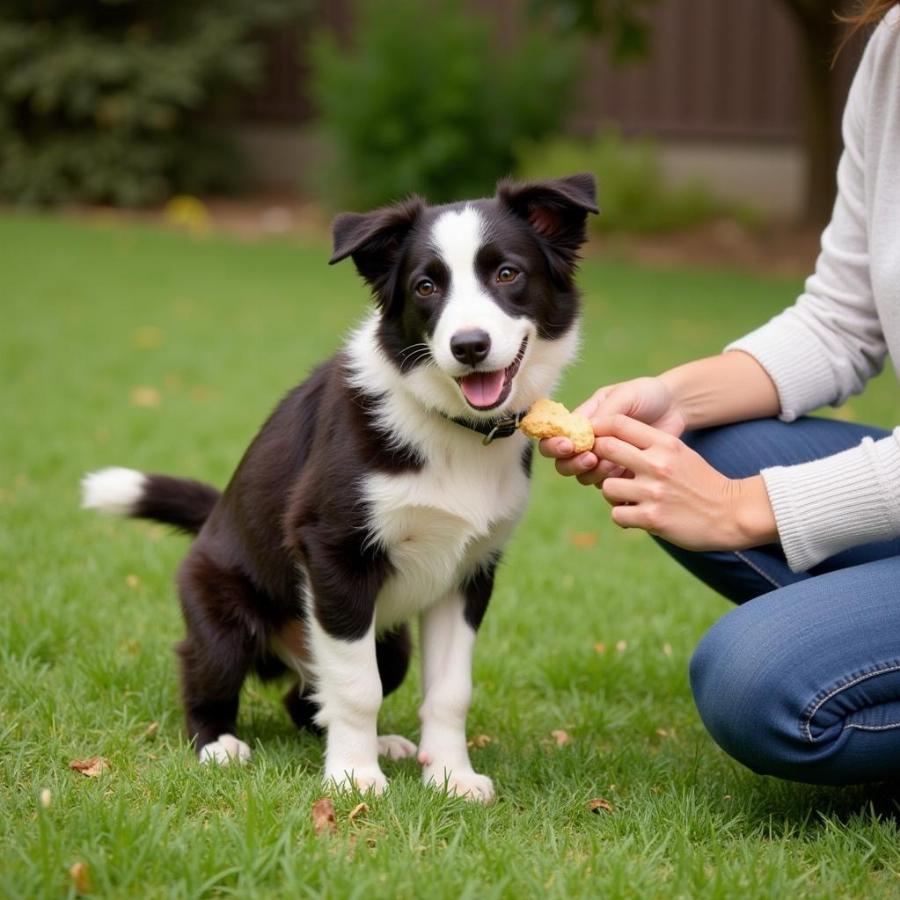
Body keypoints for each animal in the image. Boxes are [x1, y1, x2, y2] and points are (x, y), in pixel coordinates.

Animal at [81, 172, 596, 800]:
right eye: (426, 286)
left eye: (506, 274)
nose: (469, 346)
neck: (447, 425)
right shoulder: (334, 553)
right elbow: (356, 688)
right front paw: (353, 778)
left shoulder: (469, 571)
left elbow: (449, 691)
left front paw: (450, 775)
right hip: (228, 614)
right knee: (213, 672)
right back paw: (218, 742)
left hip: (390, 641)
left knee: (308, 699)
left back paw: (379, 742)